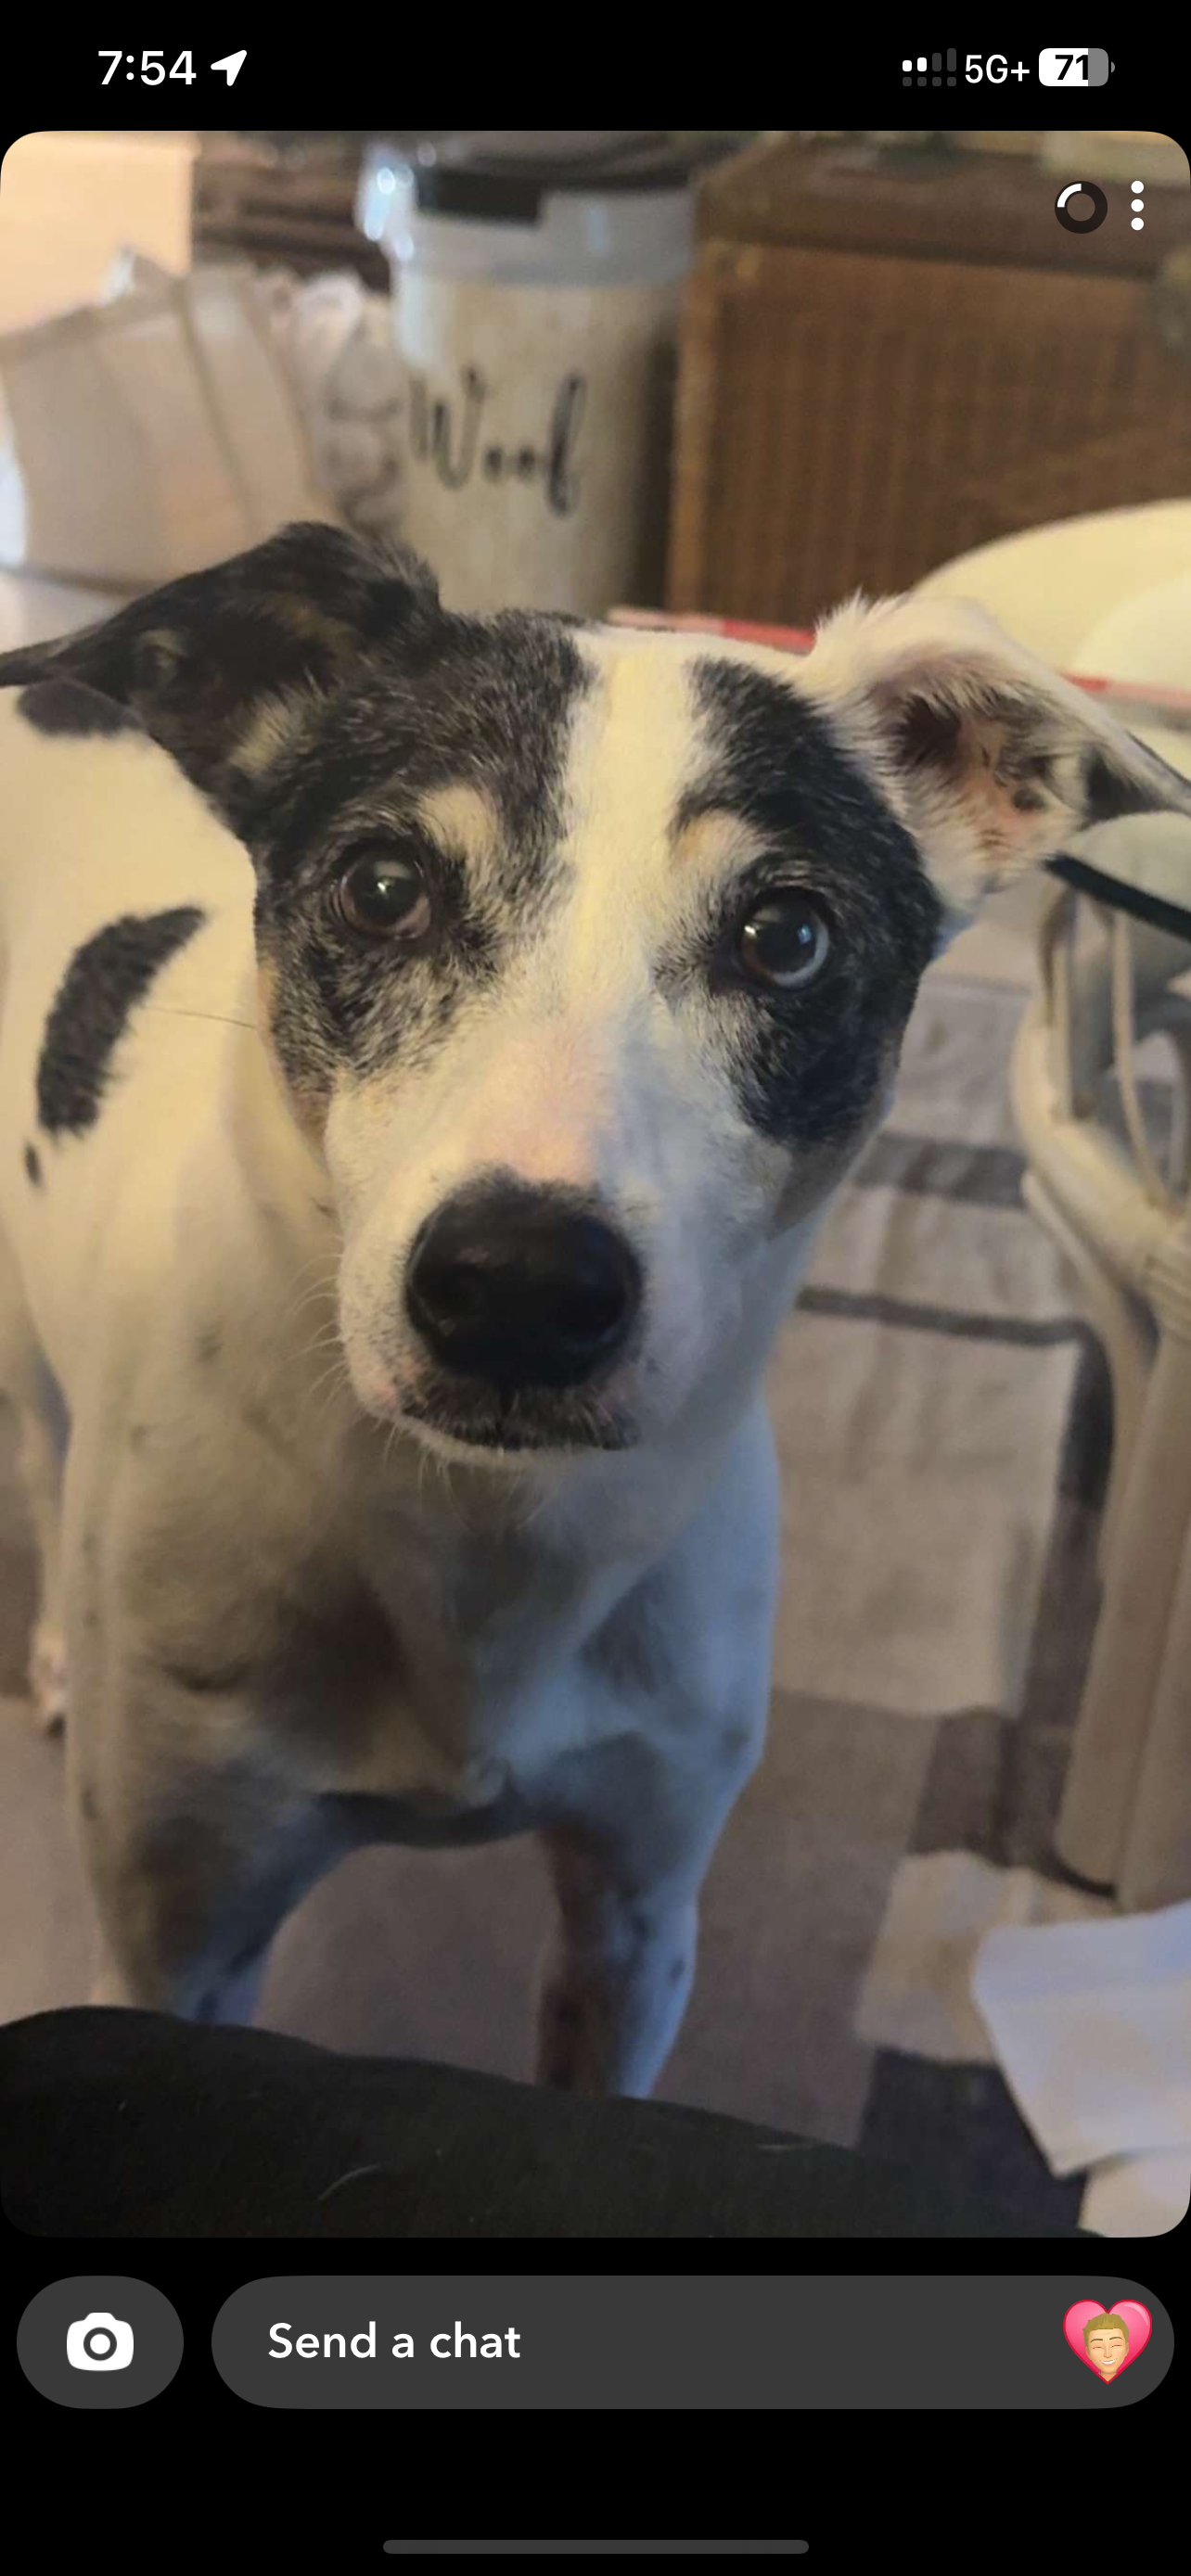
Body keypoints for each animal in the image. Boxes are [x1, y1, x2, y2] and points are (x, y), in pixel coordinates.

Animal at [2, 524, 1188, 2095]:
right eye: (382, 886)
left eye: (788, 933)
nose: (517, 1289)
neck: (480, 1547)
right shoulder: (174, 1940)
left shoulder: (635, 1913)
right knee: (39, 1440)